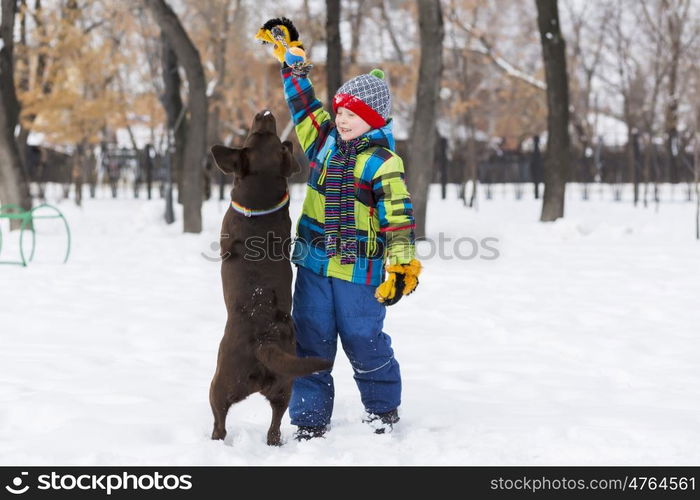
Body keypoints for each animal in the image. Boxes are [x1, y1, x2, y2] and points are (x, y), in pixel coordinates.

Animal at [208, 110, 334, 446]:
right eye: (261, 136)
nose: (264, 113)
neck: (259, 201)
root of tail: (263, 341)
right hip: (284, 385)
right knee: (275, 425)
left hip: (219, 383)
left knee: (220, 421)